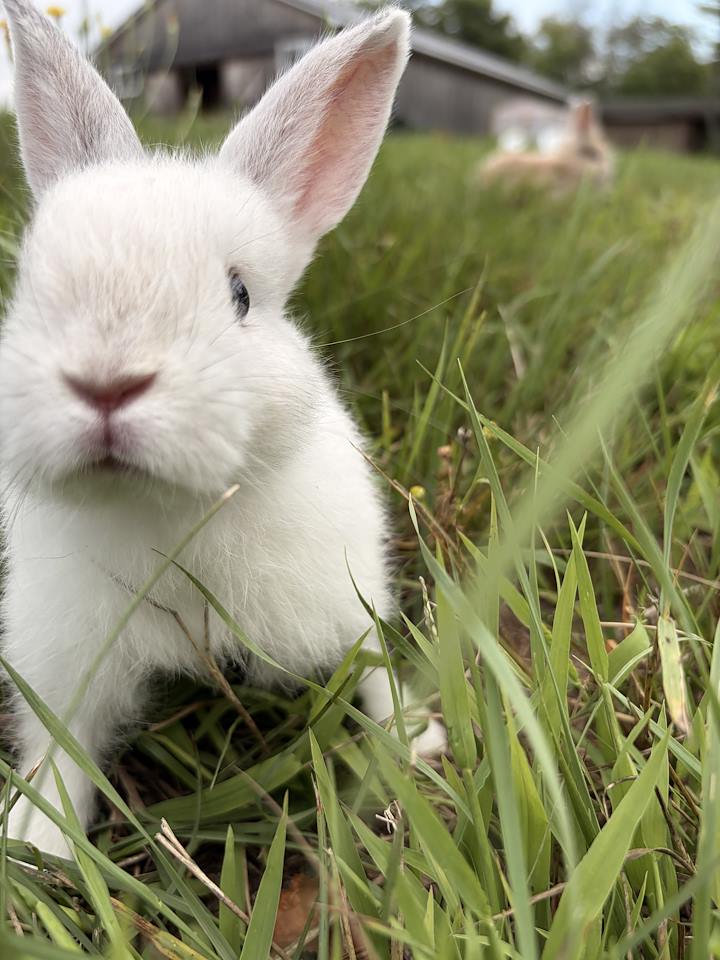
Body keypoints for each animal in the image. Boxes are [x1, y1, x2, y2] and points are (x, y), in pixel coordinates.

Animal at [0, 0, 447, 859]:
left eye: (240, 294)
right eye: (29, 287)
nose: (107, 383)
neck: (168, 510)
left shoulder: (348, 596)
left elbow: (373, 668)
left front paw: (416, 741)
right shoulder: (61, 658)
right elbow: (61, 743)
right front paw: (38, 837)